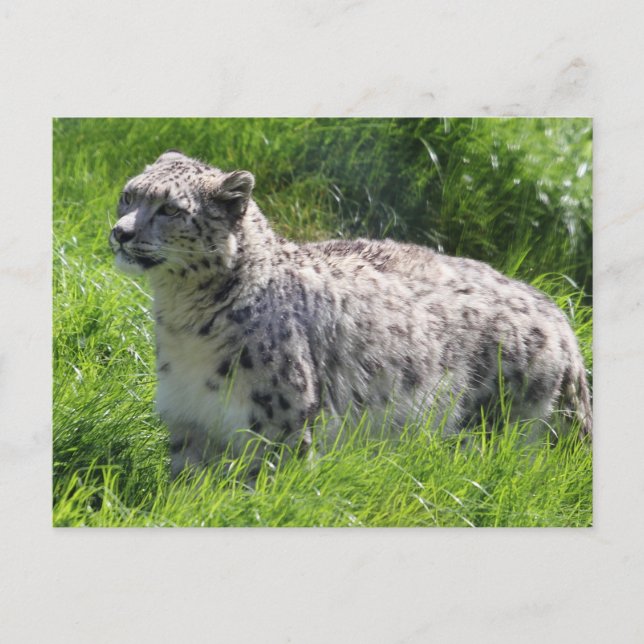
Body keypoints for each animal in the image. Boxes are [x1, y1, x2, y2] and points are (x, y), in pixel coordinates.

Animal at [109, 150, 592, 477]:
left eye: (171, 209)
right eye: (128, 195)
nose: (120, 232)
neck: (184, 323)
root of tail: (562, 320)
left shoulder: (278, 425)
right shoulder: (189, 419)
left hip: (510, 424)